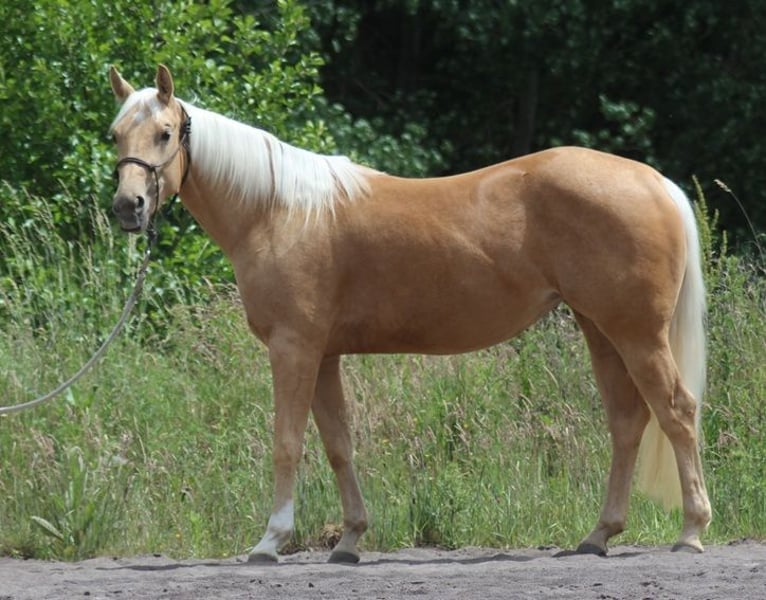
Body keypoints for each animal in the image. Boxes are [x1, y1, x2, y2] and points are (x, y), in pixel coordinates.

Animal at [108, 65, 711, 563]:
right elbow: (338, 446)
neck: (279, 212)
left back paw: (690, 531)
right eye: (116, 134)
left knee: (677, 411)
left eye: (165, 133)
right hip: (601, 330)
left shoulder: (293, 348)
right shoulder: (323, 356)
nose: (127, 208)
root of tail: (656, 182)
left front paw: (270, 541)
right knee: (627, 423)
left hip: (637, 334)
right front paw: (349, 540)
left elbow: (287, 443)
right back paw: (598, 535)